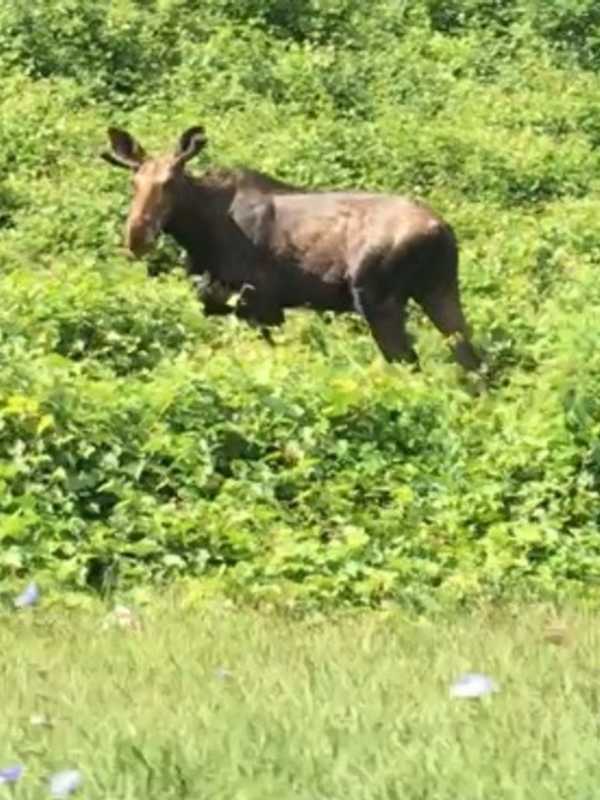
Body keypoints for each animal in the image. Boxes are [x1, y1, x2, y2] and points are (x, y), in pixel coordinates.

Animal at [101, 125, 480, 372]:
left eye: (169, 182)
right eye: (134, 182)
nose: (136, 235)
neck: (198, 234)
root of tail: (442, 230)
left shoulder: (262, 307)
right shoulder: (218, 305)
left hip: (378, 302)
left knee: (410, 364)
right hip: (439, 291)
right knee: (473, 363)